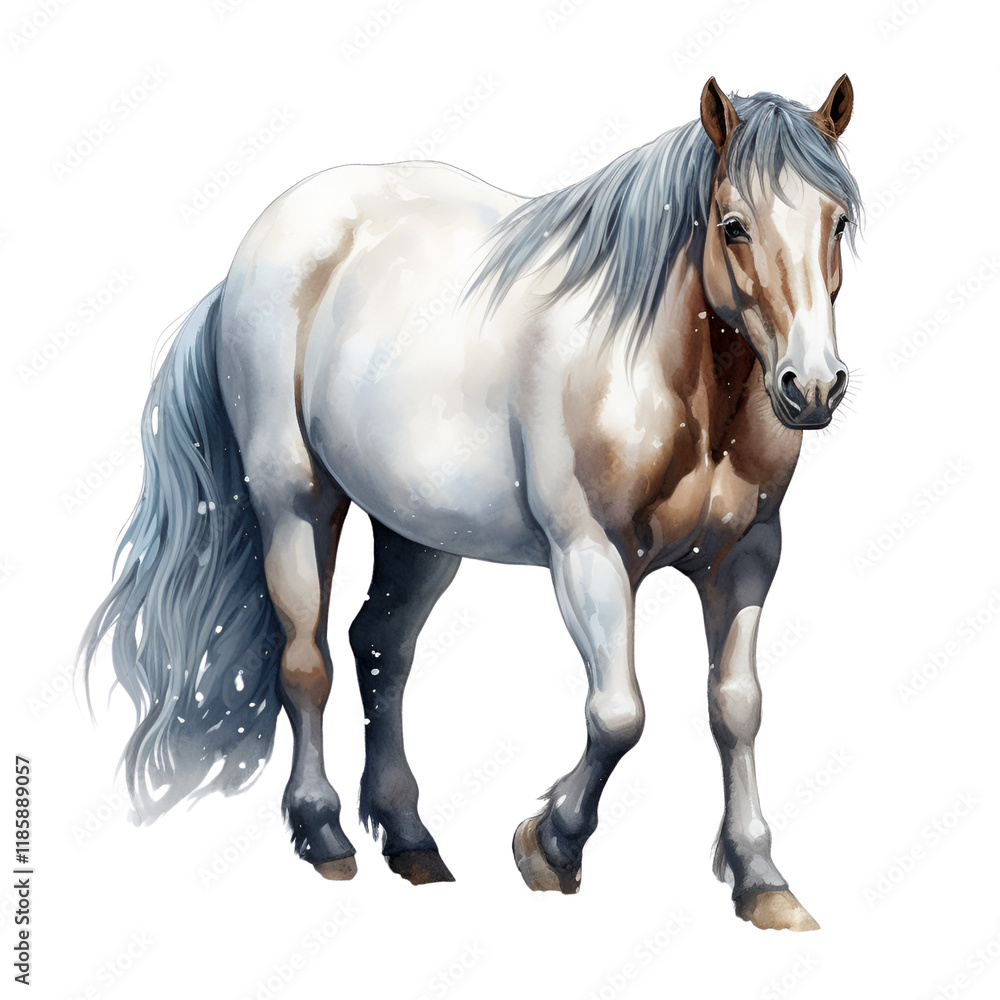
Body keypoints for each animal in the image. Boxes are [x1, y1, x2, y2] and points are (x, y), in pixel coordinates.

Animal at [82, 75, 861, 931]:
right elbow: (618, 714)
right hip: (294, 505)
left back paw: (410, 838)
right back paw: (325, 832)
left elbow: (736, 708)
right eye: (733, 225)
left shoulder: (745, 558)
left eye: (839, 220)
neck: (671, 378)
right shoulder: (589, 554)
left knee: (380, 648)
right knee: (306, 661)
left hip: (418, 533)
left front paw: (761, 879)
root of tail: (247, 262)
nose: (812, 386)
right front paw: (549, 845)